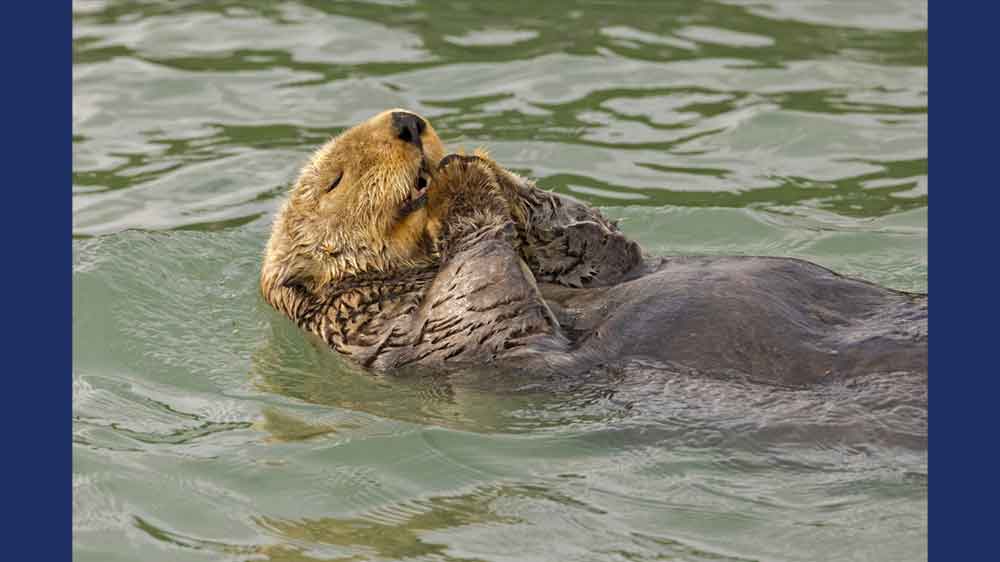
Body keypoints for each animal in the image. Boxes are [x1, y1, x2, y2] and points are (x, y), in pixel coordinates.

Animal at [262, 109, 924, 384]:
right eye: (334, 179)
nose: (407, 121)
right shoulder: (386, 328)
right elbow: (480, 304)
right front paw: (463, 184)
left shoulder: (599, 266)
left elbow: (598, 243)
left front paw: (477, 165)